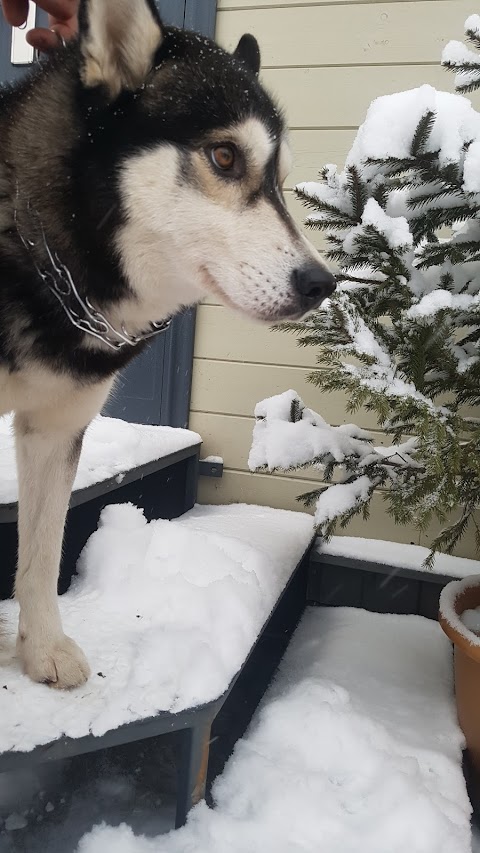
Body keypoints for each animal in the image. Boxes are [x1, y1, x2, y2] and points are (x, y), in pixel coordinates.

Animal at [0, 0, 336, 684]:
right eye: (226, 157)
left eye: (281, 180)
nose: (322, 284)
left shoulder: (56, 428)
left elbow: (44, 552)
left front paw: (43, 648)